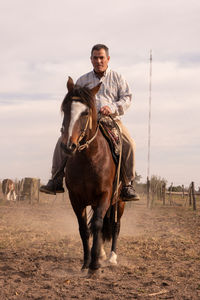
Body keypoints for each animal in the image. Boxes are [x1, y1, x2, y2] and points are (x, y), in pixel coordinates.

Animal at [61, 77, 124, 274]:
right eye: (65, 109)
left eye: (85, 112)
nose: (68, 146)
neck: (89, 158)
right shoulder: (76, 199)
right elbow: (84, 229)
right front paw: (86, 263)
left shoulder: (105, 195)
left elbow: (96, 224)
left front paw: (94, 266)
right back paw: (102, 254)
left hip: (120, 201)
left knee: (115, 226)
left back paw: (112, 257)